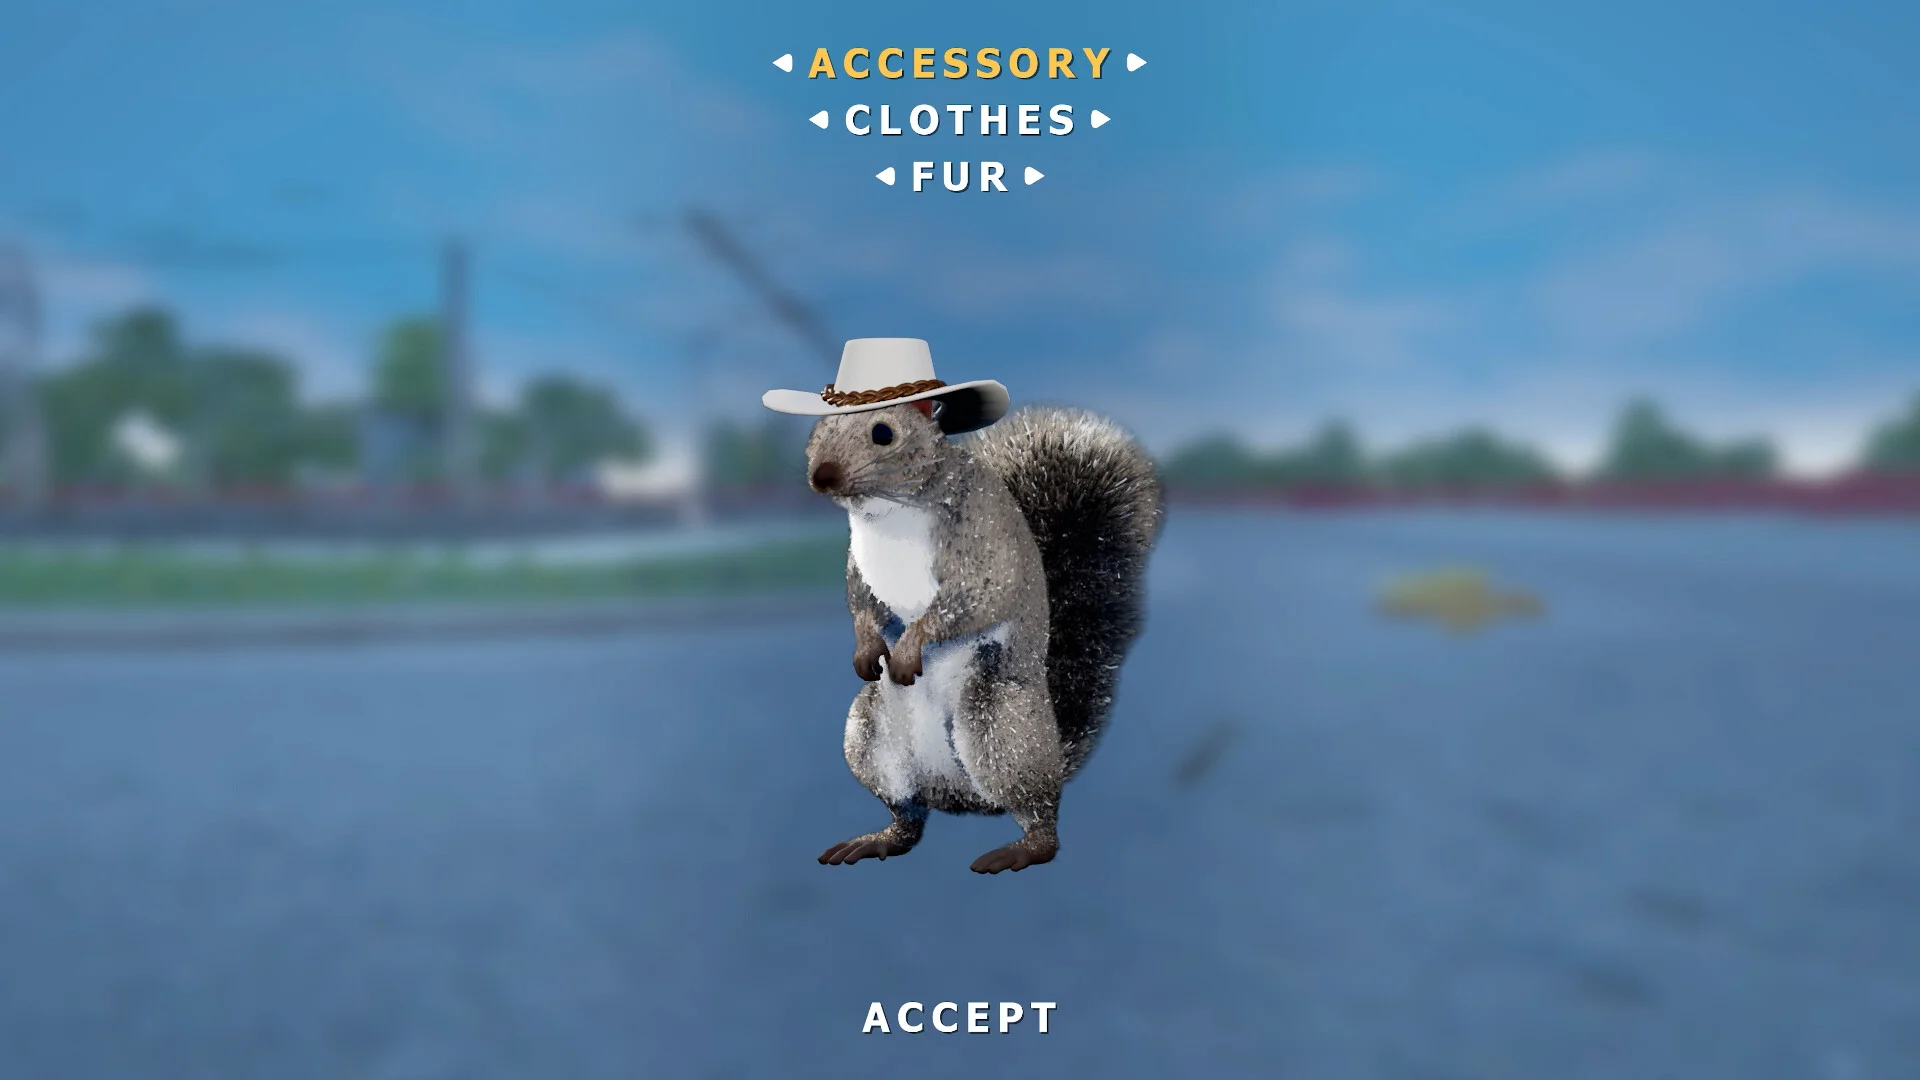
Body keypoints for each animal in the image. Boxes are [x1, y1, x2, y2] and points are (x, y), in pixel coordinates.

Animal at [800, 400, 1164, 873]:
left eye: (883, 433)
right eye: (818, 428)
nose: (820, 476)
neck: (886, 514)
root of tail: (960, 795)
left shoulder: (981, 541)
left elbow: (978, 596)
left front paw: (908, 649)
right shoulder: (860, 566)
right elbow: (861, 600)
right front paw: (867, 649)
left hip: (997, 725)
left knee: (1040, 818)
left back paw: (1023, 848)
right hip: (868, 735)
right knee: (908, 820)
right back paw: (878, 840)